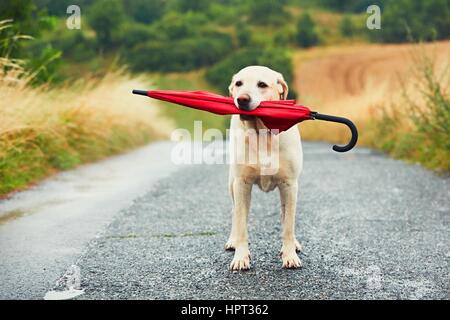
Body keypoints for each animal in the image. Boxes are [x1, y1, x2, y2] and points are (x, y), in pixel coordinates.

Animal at [225, 65, 302, 270]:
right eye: (239, 83)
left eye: (262, 84)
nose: (242, 99)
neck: (262, 135)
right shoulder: (242, 184)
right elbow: (242, 225)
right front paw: (241, 257)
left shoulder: (289, 184)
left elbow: (288, 225)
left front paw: (290, 255)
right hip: (232, 184)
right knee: (236, 213)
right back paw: (233, 241)